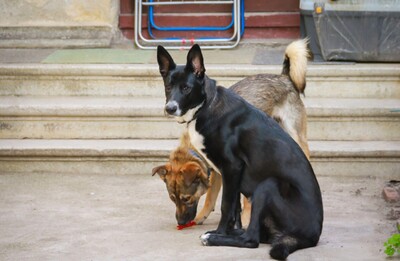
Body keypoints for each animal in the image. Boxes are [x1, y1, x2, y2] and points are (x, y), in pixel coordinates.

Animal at [158, 43, 324, 258]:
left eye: (186, 88)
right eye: (168, 87)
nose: (169, 108)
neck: (206, 106)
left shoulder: (232, 167)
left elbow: (226, 206)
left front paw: (220, 232)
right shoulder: (225, 173)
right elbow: (231, 206)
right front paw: (227, 225)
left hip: (270, 181)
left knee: (252, 240)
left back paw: (214, 238)